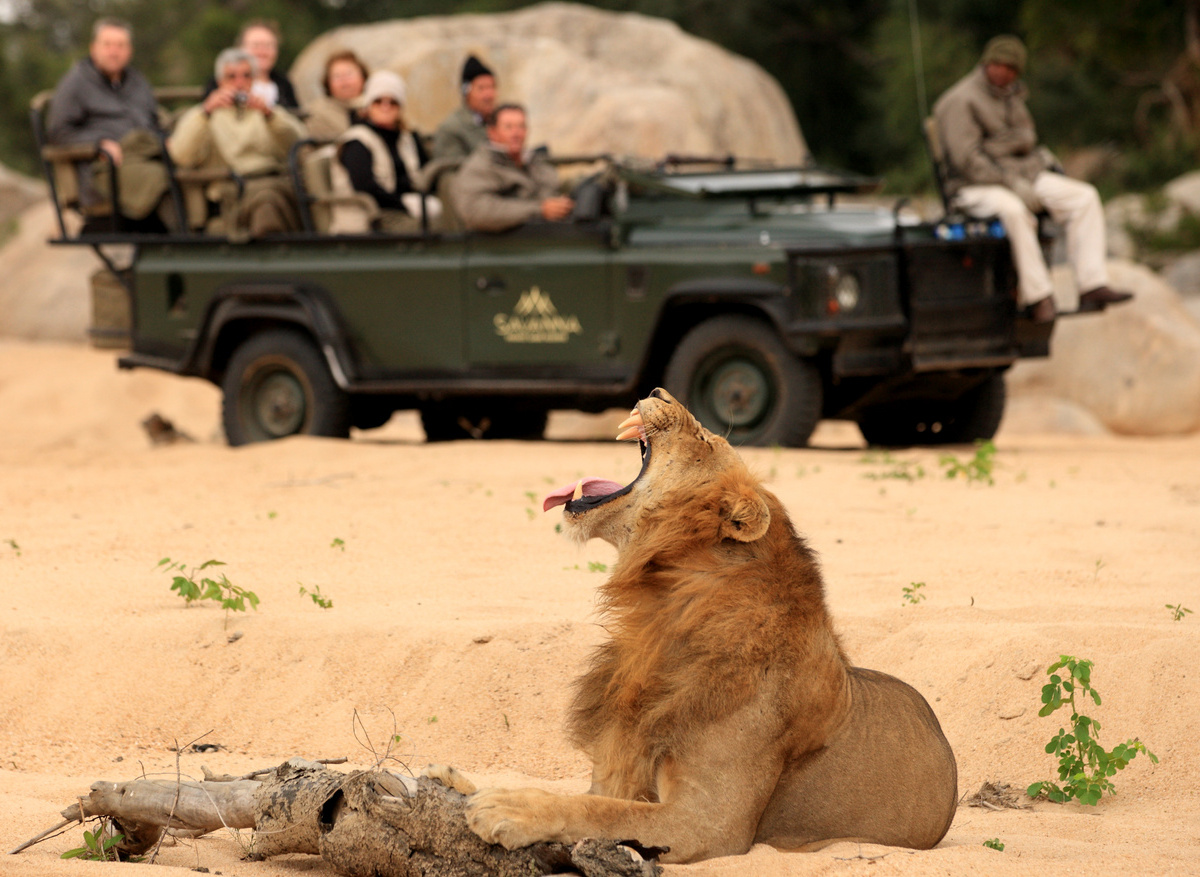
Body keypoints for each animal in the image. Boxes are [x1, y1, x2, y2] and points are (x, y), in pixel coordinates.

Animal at [451, 388, 957, 863]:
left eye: (704, 440)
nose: (658, 392)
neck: (665, 604)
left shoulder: (708, 822)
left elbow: (599, 811)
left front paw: (508, 807)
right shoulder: (621, 765)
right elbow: (594, 798)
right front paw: (452, 780)